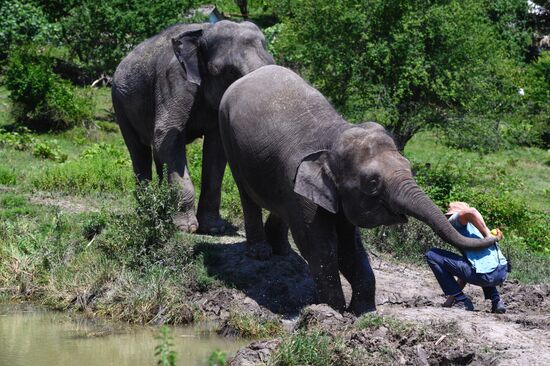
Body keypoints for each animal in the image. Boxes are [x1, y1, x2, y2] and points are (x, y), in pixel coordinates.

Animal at [112, 20, 276, 233]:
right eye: (223, 71)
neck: (202, 33)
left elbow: (216, 149)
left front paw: (213, 229)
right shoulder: (172, 78)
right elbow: (167, 137)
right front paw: (185, 228)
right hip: (119, 102)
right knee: (139, 151)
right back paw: (147, 214)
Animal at [220, 64, 500, 314]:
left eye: (409, 167)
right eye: (373, 183)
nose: (495, 234)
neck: (335, 134)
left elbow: (350, 247)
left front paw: (363, 311)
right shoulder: (303, 190)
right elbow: (320, 245)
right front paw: (334, 312)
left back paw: (282, 251)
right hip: (228, 134)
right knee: (247, 194)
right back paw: (260, 253)